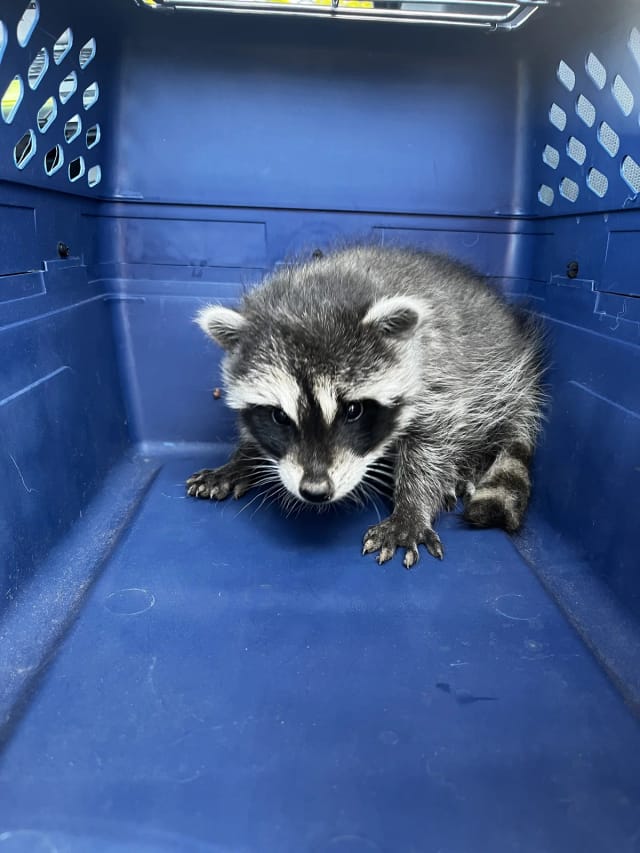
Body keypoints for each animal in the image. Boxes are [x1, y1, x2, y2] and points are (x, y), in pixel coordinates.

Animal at [187, 246, 544, 568]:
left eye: (353, 411)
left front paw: (412, 507)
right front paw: (241, 460)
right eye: (279, 416)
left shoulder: (440, 376)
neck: (316, 294)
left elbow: (432, 444)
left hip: (497, 380)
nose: (315, 491)